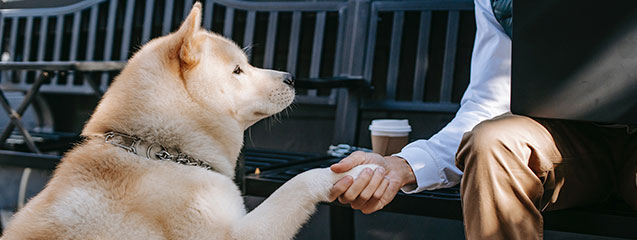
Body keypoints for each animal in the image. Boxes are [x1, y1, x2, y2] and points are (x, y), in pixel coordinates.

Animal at [0, 2, 376, 239]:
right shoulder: (237, 234)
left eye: (246, 64)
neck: (161, 153)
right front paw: (360, 169)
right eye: (238, 70)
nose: (291, 77)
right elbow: (297, 183)